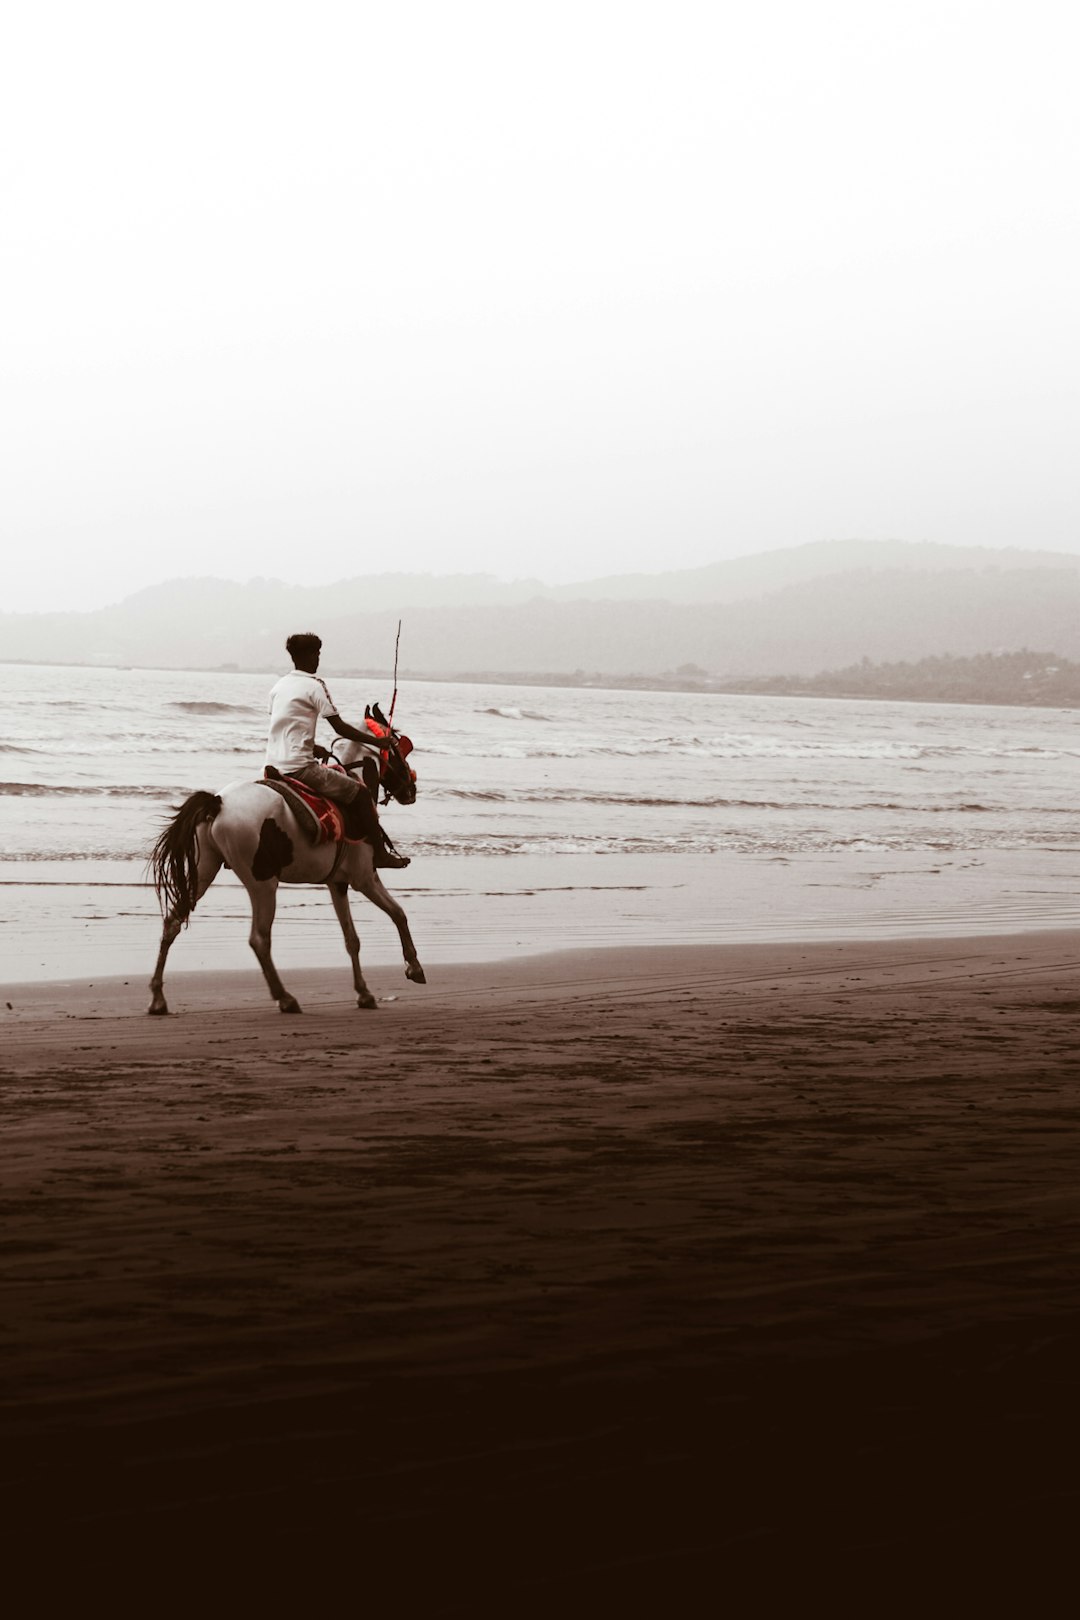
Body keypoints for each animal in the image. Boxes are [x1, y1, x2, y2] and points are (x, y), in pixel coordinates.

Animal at [148, 732, 427, 1010]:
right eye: (399, 753)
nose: (411, 791)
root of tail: (218, 803)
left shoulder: (337, 884)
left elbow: (352, 939)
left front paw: (364, 992)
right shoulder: (365, 879)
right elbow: (398, 913)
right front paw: (414, 967)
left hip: (203, 871)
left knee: (172, 923)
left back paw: (158, 998)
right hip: (263, 883)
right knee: (259, 939)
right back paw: (285, 997)